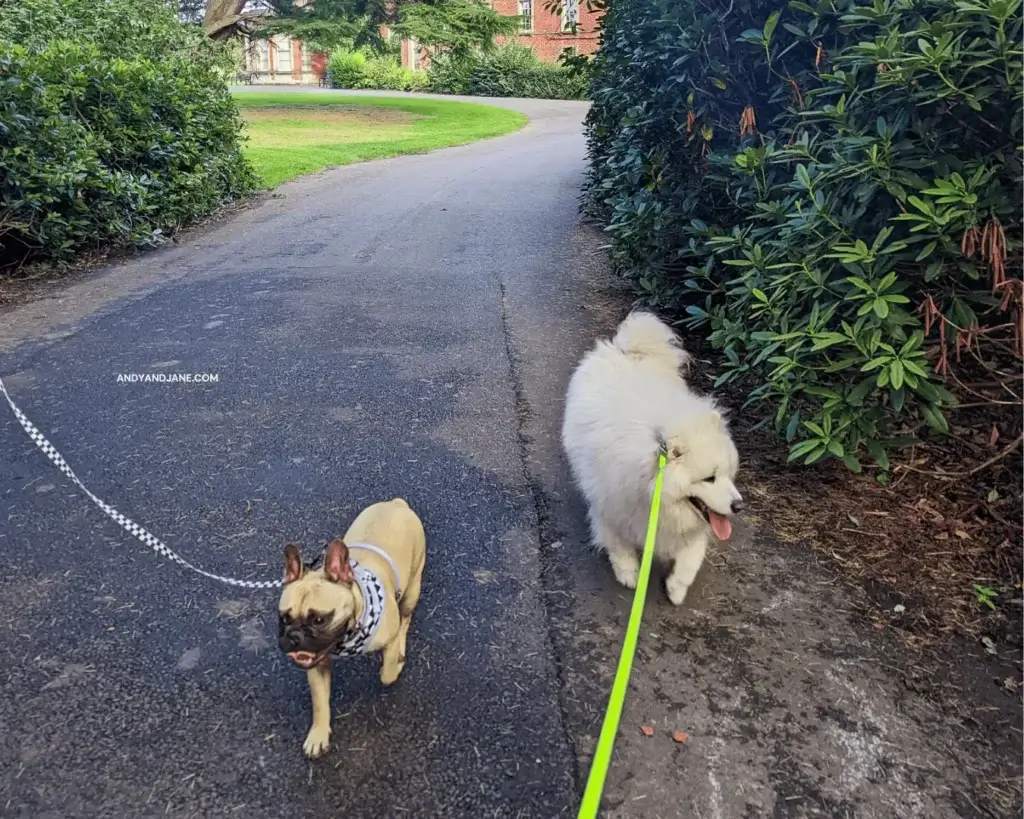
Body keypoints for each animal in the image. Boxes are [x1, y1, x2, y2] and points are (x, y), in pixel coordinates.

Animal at [561, 311, 745, 606]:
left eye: (729, 476)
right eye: (709, 478)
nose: (739, 506)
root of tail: (630, 351)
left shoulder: (692, 530)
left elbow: (690, 561)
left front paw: (676, 589)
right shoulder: (612, 508)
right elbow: (618, 545)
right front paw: (629, 573)